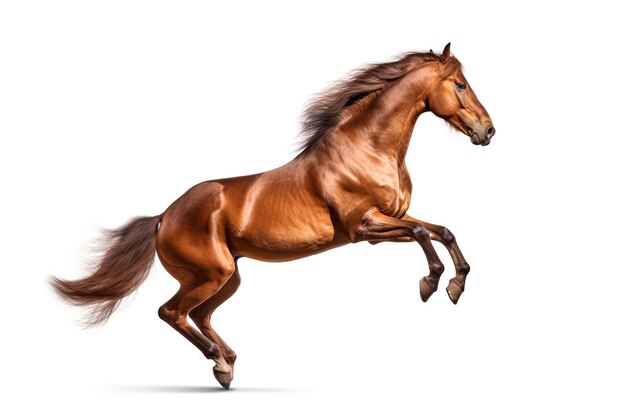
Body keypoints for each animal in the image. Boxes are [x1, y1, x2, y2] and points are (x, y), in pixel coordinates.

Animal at [51, 44, 494, 388]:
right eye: (460, 84)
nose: (488, 131)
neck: (367, 148)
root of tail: (164, 216)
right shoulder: (365, 227)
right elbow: (421, 232)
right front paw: (430, 284)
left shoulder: (388, 220)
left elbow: (442, 231)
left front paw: (455, 284)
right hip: (210, 275)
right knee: (172, 312)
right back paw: (219, 361)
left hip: (227, 277)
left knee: (198, 315)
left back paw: (227, 363)